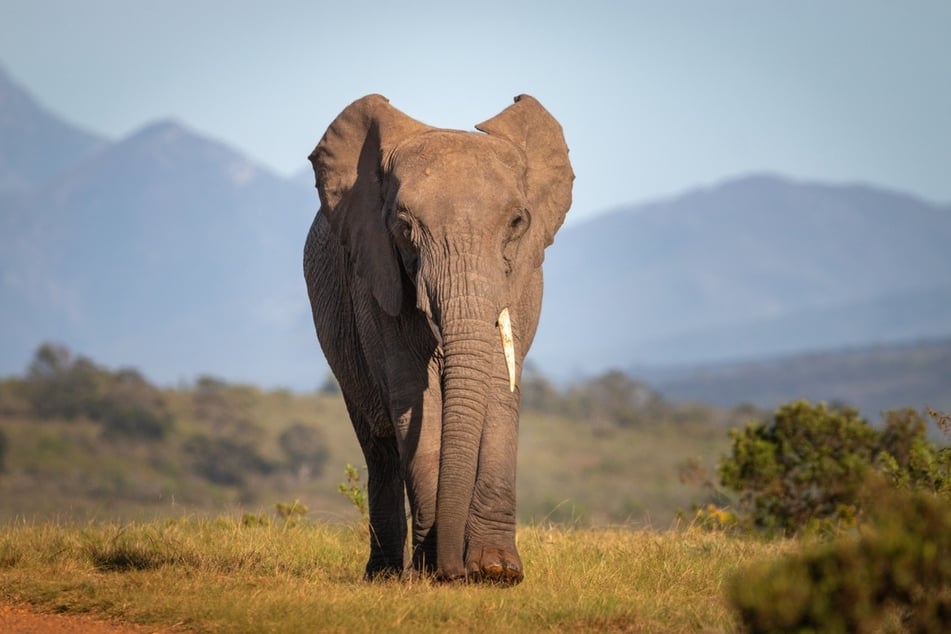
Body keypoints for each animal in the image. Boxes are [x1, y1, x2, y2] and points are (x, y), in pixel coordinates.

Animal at [304, 94, 572, 584]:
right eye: (404, 226)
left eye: (517, 222)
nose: (453, 571)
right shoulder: (379, 279)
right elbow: (415, 393)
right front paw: (434, 572)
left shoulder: (525, 279)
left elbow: (499, 387)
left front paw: (496, 572)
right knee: (379, 448)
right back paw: (385, 575)